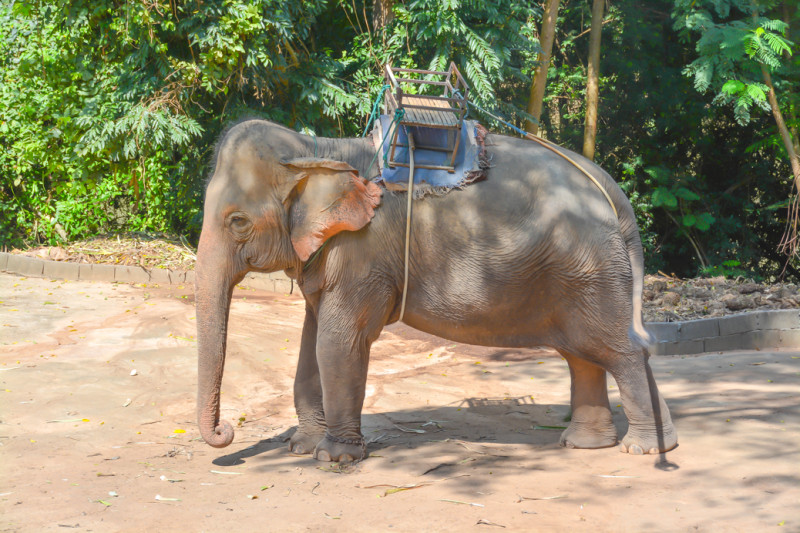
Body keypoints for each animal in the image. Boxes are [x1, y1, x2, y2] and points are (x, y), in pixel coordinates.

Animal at [194, 118, 676, 460]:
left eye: (237, 221)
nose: (226, 430)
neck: (316, 150)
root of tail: (608, 186)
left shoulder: (363, 255)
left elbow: (339, 341)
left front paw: (334, 458)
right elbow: (308, 343)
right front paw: (301, 447)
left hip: (591, 268)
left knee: (619, 350)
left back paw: (647, 448)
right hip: (579, 274)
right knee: (583, 353)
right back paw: (587, 445)